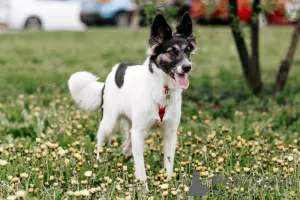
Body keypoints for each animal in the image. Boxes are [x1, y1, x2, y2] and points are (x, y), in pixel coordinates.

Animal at [68, 12, 197, 183]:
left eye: (187, 51)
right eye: (172, 51)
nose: (187, 67)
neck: (162, 89)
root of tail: (114, 70)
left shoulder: (170, 132)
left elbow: (168, 164)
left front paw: (168, 184)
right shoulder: (139, 132)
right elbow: (141, 168)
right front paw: (143, 186)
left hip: (129, 125)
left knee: (126, 147)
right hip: (109, 122)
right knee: (100, 139)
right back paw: (98, 162)